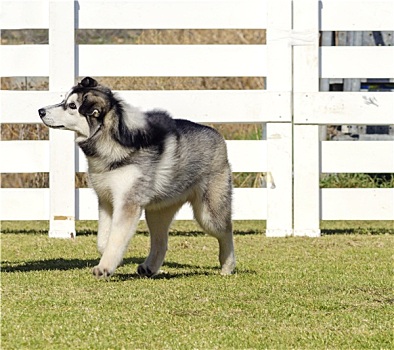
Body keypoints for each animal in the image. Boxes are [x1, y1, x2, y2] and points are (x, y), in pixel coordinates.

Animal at [37, 77, 234, 278]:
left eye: (71, 106)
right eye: (64, 100)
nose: (40, 111)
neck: (111, 141)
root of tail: (217, 134)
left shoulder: (127, 204)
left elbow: (116, 238)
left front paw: (104, 267)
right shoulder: (106, 201)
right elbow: (104, 240)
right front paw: (111, 257)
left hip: (208, 214)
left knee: (226, 231)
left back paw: (227, 266)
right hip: (157, 212)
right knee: (161, 241)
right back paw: (150, 267)